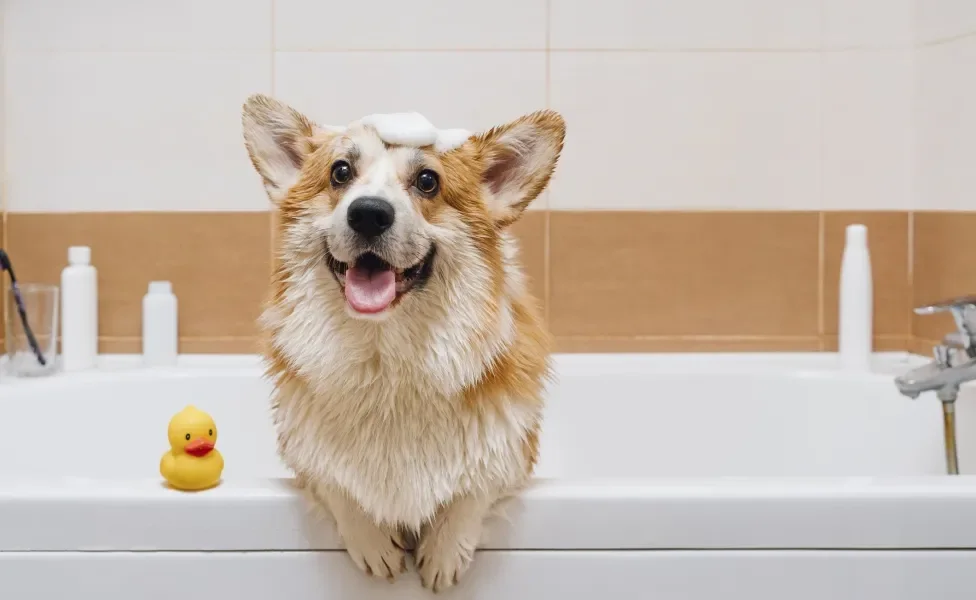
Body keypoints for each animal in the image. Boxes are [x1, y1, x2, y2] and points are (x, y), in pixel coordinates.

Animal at [241, 95, 568, 592]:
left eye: (427, 181)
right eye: (340, 172)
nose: (368, 213)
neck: (386, 360)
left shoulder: (512, 450)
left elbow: (476, 484)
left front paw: (443, 554)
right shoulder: (303, 451)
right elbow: (335, 481)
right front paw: (375, 546)